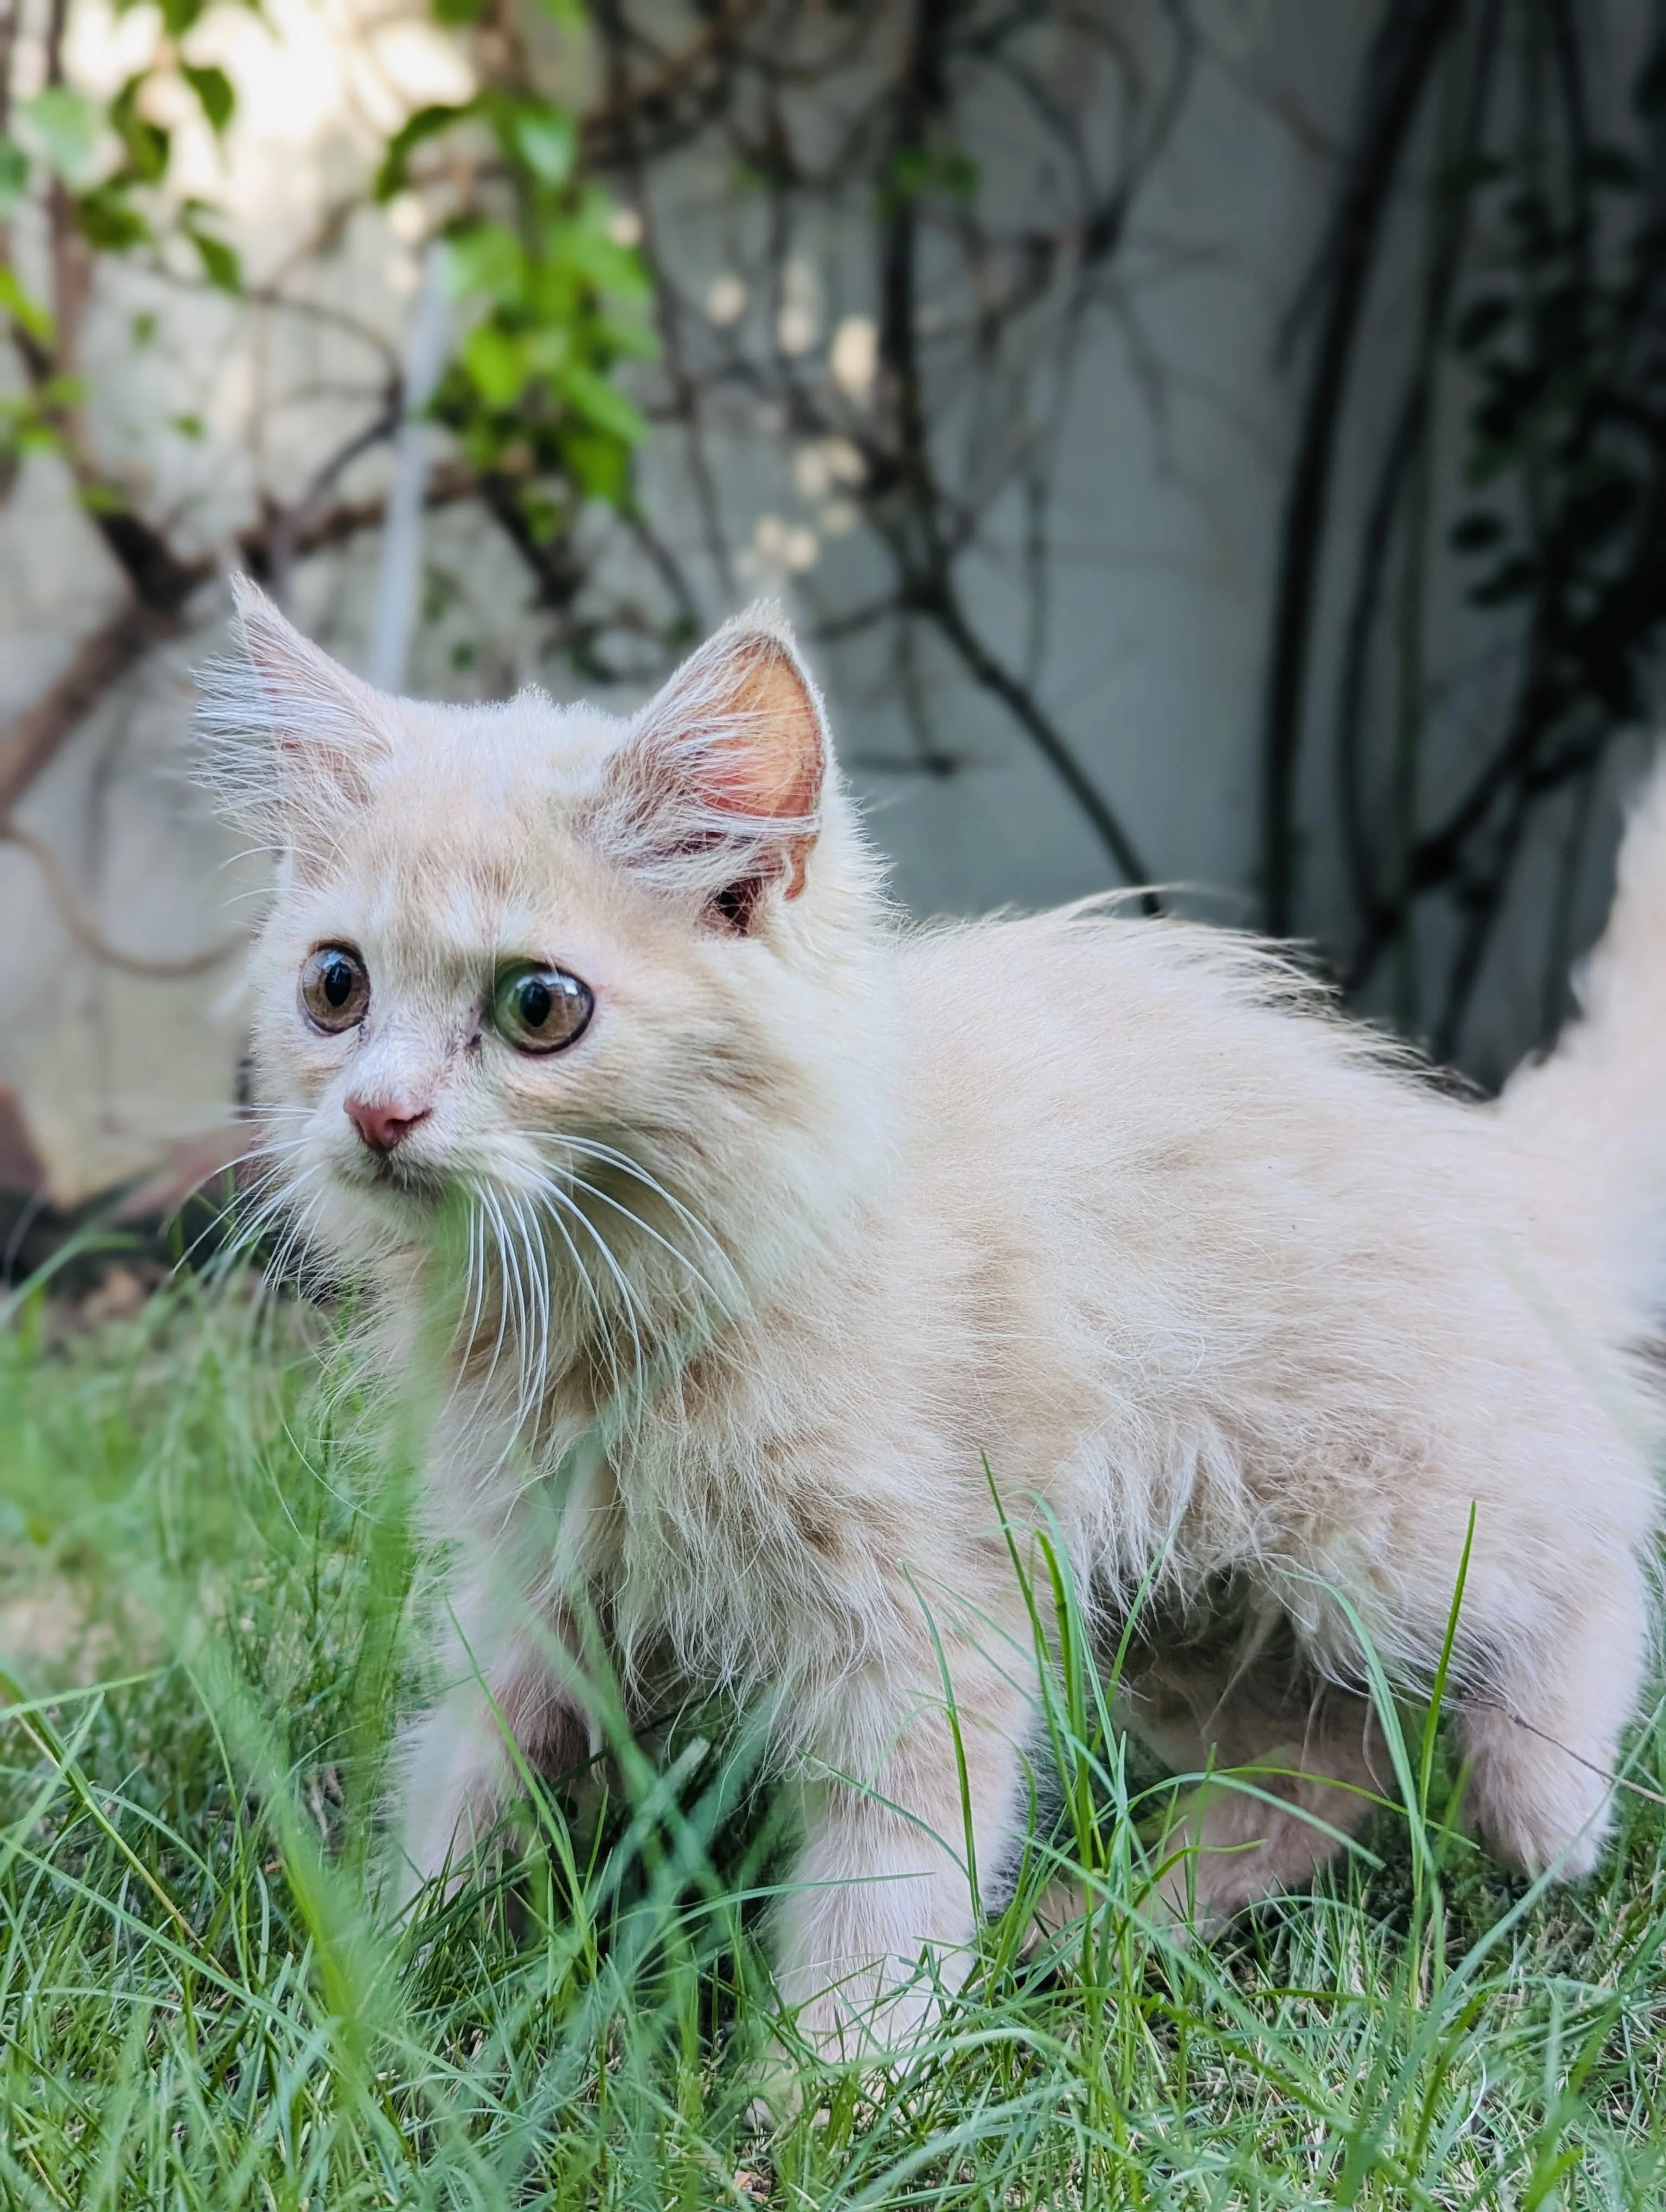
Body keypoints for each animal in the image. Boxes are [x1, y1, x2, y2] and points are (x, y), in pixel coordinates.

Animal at [204, 575, 1663, 2053]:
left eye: (539, 1006)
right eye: (335, 986)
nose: (377, 1113)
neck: (604, 1307)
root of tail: (1487, 1157)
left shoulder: (920, 1623)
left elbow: (884, 1886)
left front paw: (826, 2081)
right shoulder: (546, 1576)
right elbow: (473, 1767)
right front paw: (376, 1993)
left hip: (1376, 1517)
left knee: (1593, 1531)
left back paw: (1547, 1808)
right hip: (1188, 1606)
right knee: (1326, 1756)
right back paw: (1104, 1928)